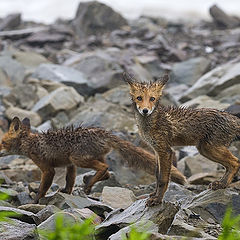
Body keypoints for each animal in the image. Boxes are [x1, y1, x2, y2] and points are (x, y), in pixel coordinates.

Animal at [0, 116, 186, 202]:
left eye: (2, 142)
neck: (31, 143)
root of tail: (104, 133)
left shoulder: (48, 169)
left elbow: (42, 188)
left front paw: (36, 200)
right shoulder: (70, 165)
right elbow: (69, 181)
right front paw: (66, 192)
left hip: (78, 158)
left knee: (104, 168)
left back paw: (89, 185)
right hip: (83, 158)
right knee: (107, 172)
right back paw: (90, 182)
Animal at [124, 72, 240, 207]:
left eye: (152, 99)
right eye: (139, 98)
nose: (145, 110)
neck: (151, 123)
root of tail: (233, 117)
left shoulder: (166, 151)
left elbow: (163, 179)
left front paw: (157, 200)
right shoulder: (157, 150)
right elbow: (157, 175)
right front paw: (154, 195)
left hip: (210, 149)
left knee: (236, 162)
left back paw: (222, 184)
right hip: (205, 150)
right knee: (231, 164)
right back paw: (222, 184)